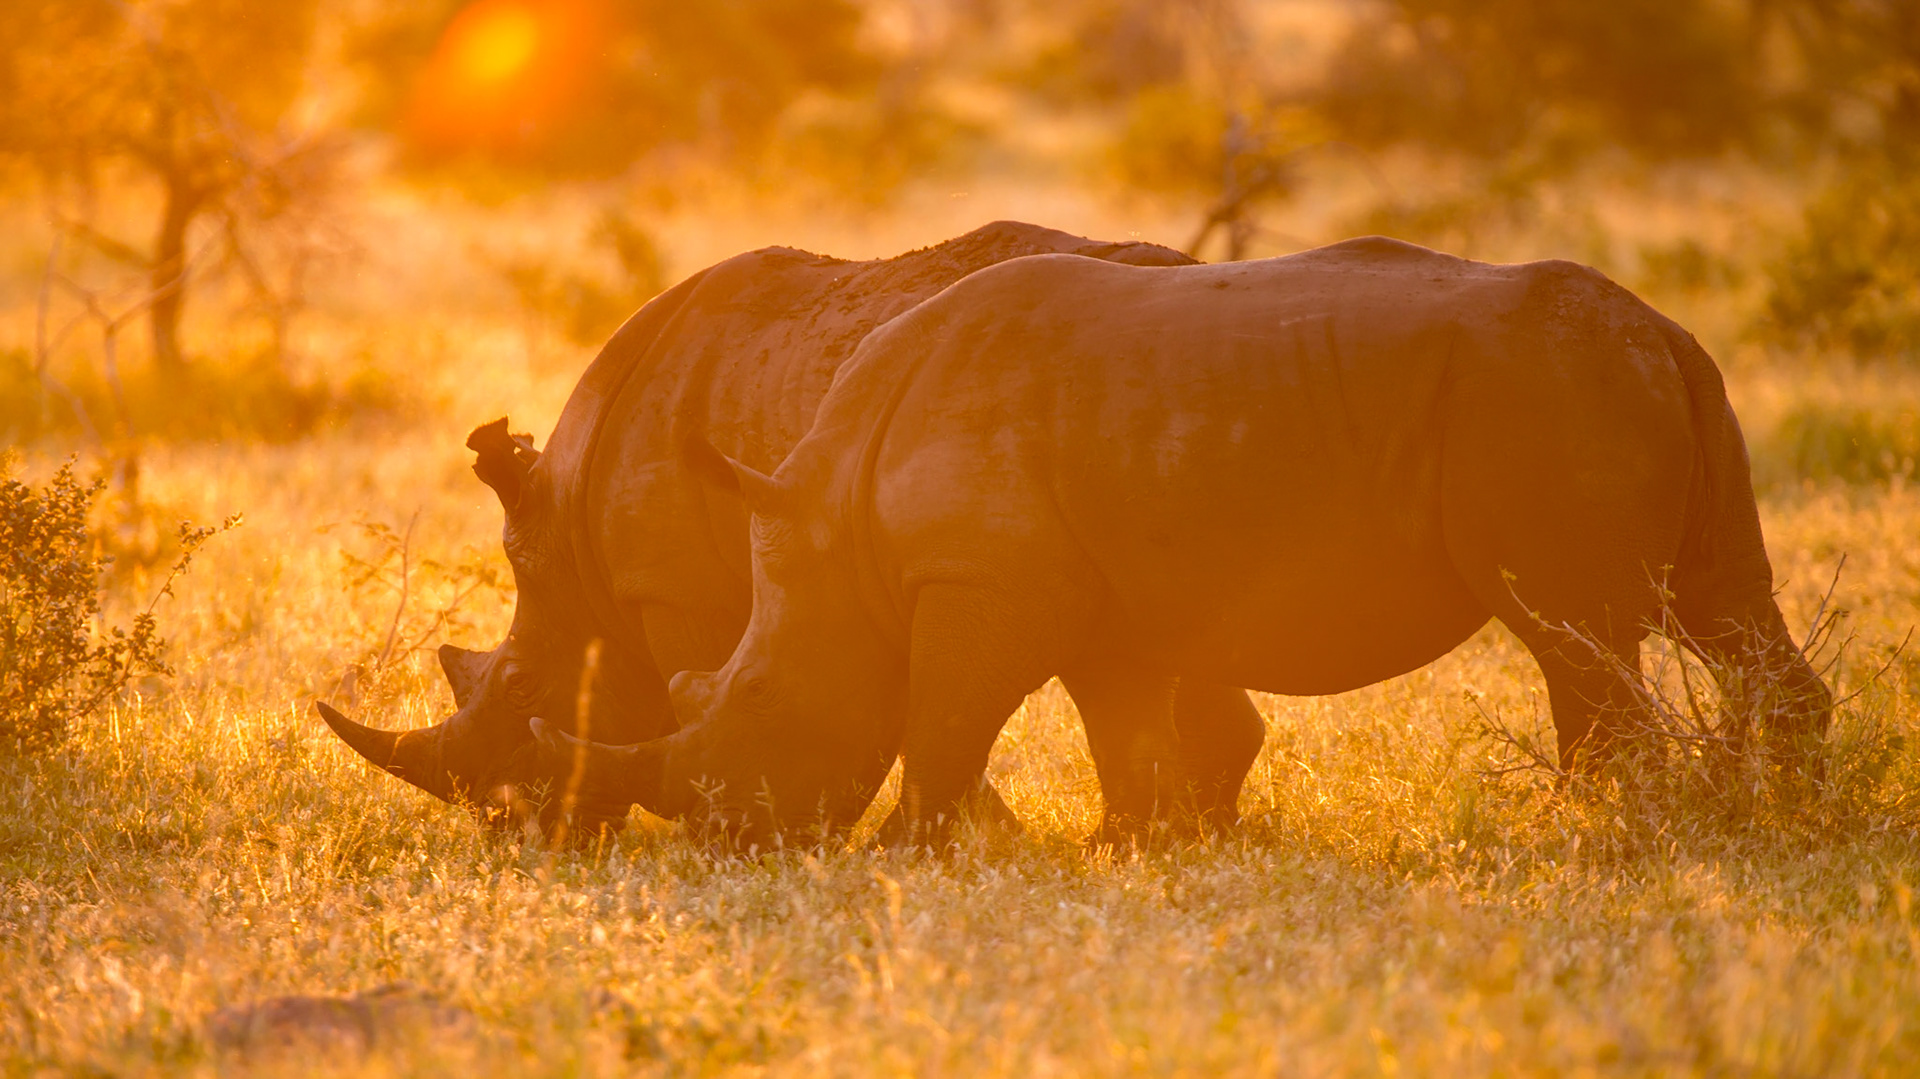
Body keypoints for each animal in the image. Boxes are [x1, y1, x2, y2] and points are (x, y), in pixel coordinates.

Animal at [535, 237, 1834, 845]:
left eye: (754, 700)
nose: (726, 835)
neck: (836, 533)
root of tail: (1666, 328)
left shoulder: (975, 584)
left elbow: (942, 724)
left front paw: (905, 854)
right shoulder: (1101, 605)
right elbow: (1124, 730)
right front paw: (1132, 845)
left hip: (1553, 396)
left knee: (1574, 633)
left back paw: (1603, 840)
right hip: (1639, 381)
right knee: (1718, 603)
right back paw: (1792, 820)